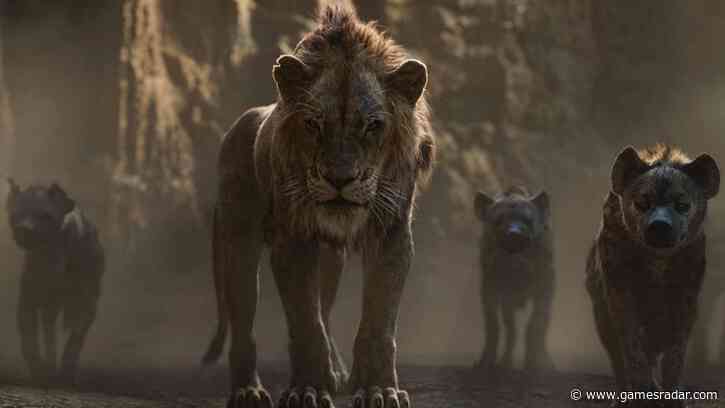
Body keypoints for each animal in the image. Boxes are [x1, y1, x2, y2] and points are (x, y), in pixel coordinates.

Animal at [201, 3, 434, 408]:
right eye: (313, 124)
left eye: (372, 126)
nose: (339, 179)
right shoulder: (293, 241)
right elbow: (305, 324)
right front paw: (307, 389)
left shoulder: (391, 235)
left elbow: (378, 323)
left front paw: (378, 389)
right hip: (238, 241)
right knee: (245, 323)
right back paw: (248, 390)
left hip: (330, 260)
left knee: (324, 308)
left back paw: (338, 373)